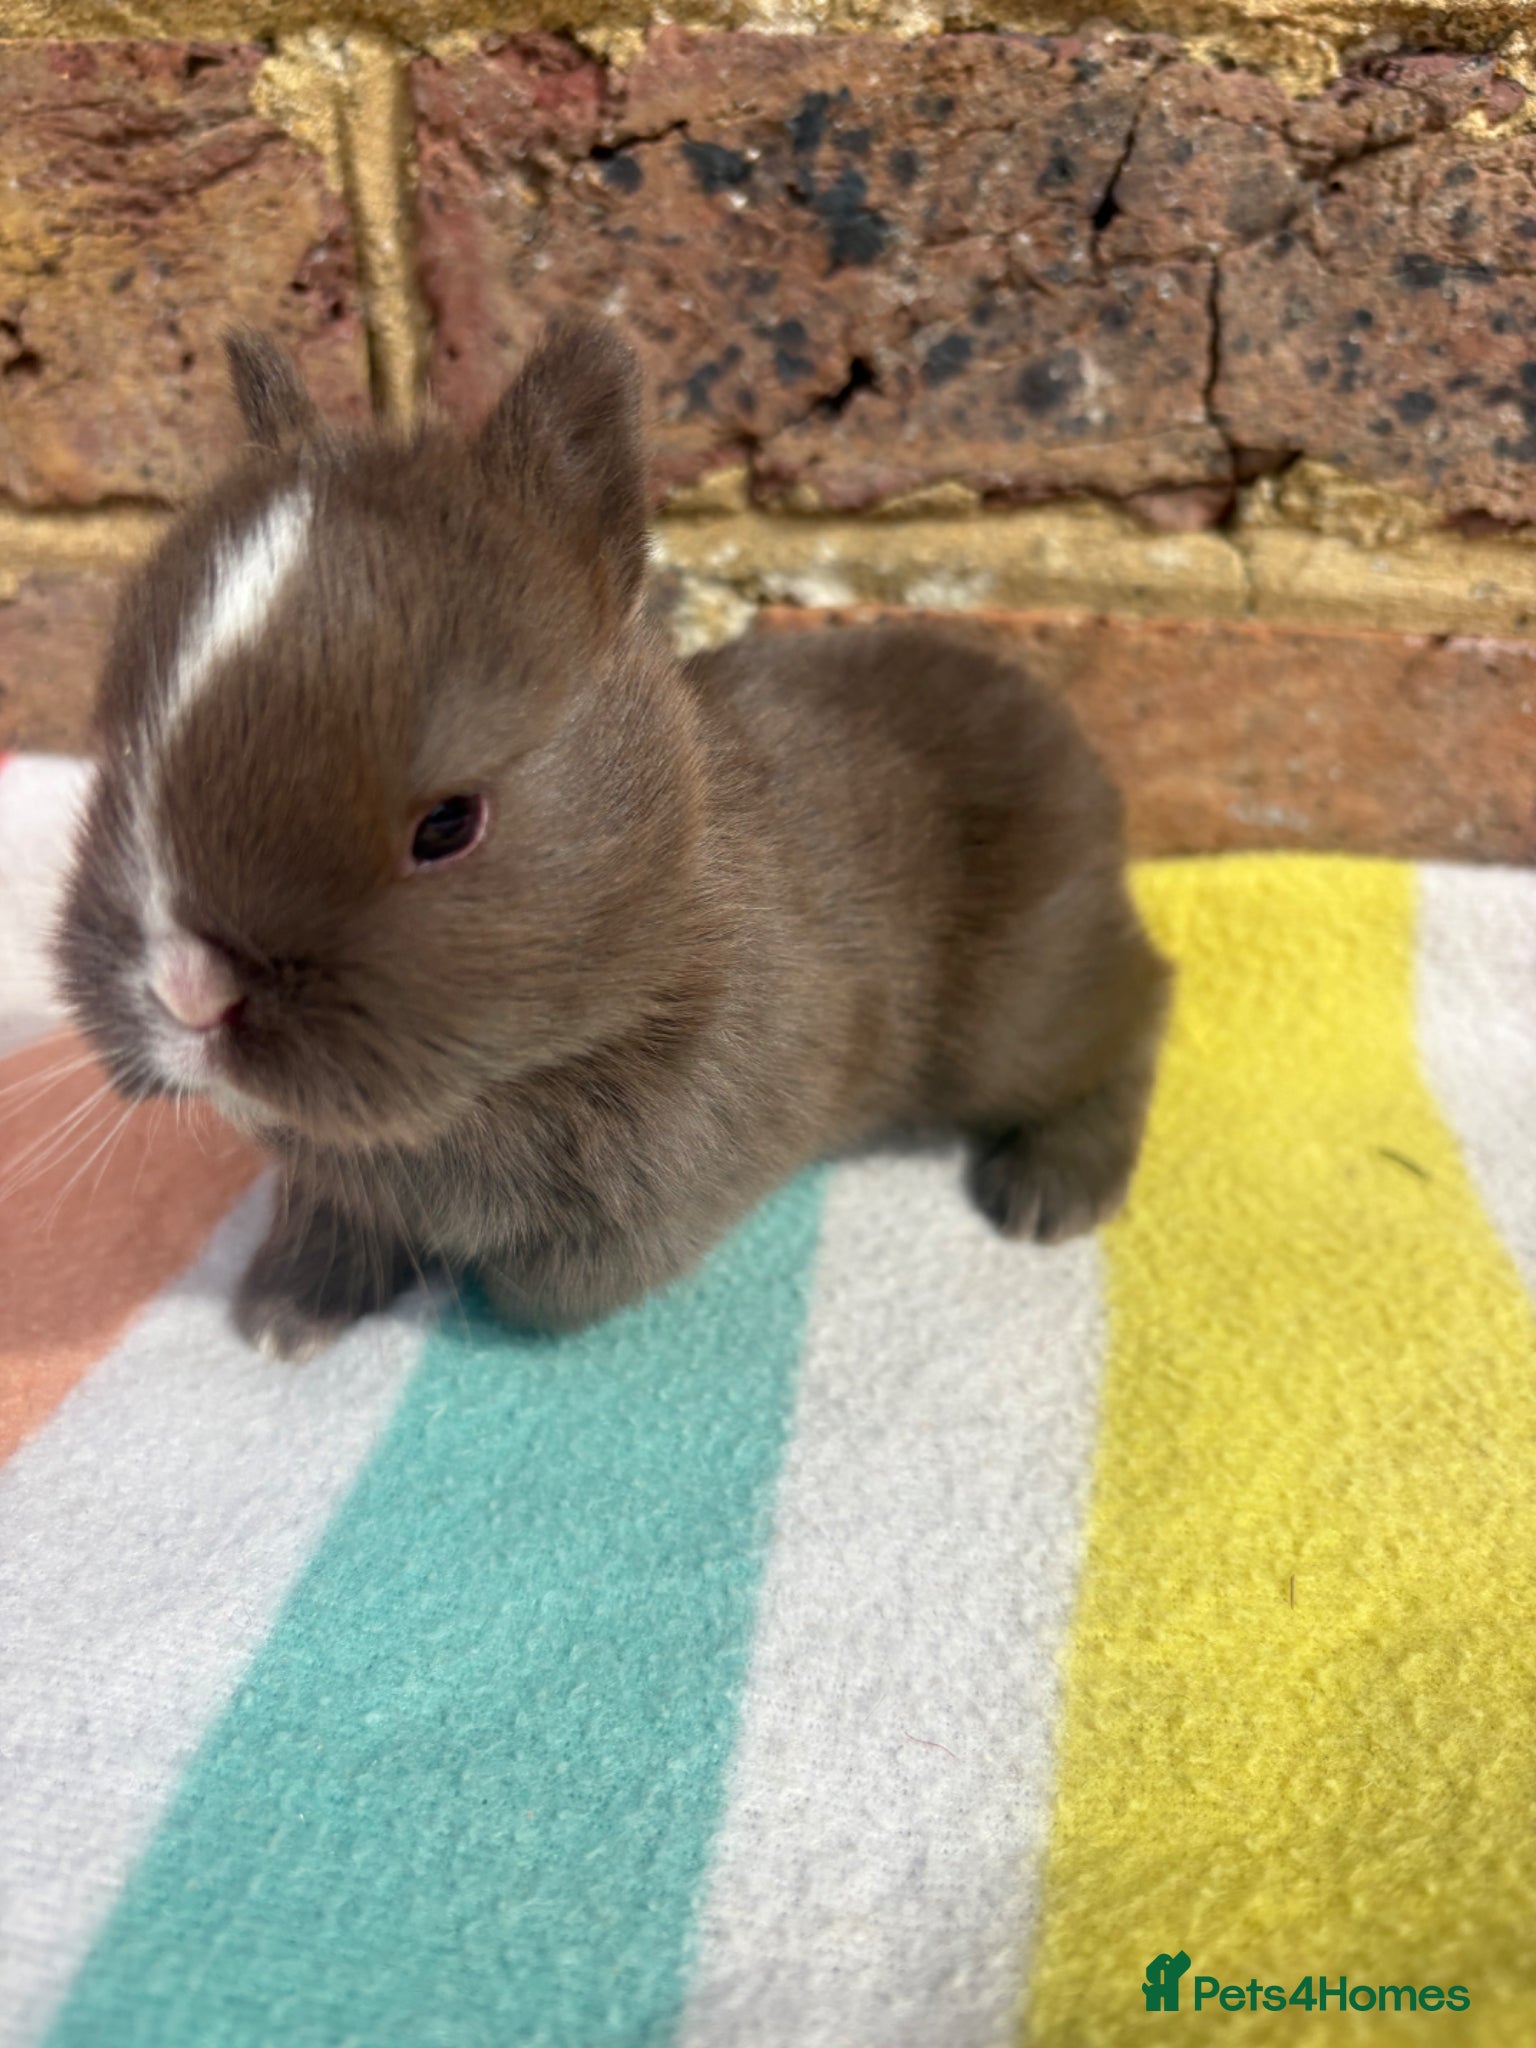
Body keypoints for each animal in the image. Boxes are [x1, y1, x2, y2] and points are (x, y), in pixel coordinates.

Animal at [54, 316, 1172, 1361]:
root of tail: (1063, 732)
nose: (188, 994)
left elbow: (540, 1293)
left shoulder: (654, 1198)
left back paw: (1052, 1193)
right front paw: (284, 1315)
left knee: (1141, 1007)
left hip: (1024, 1011)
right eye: (115, 754)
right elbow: (336, 1218)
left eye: (448, 824)